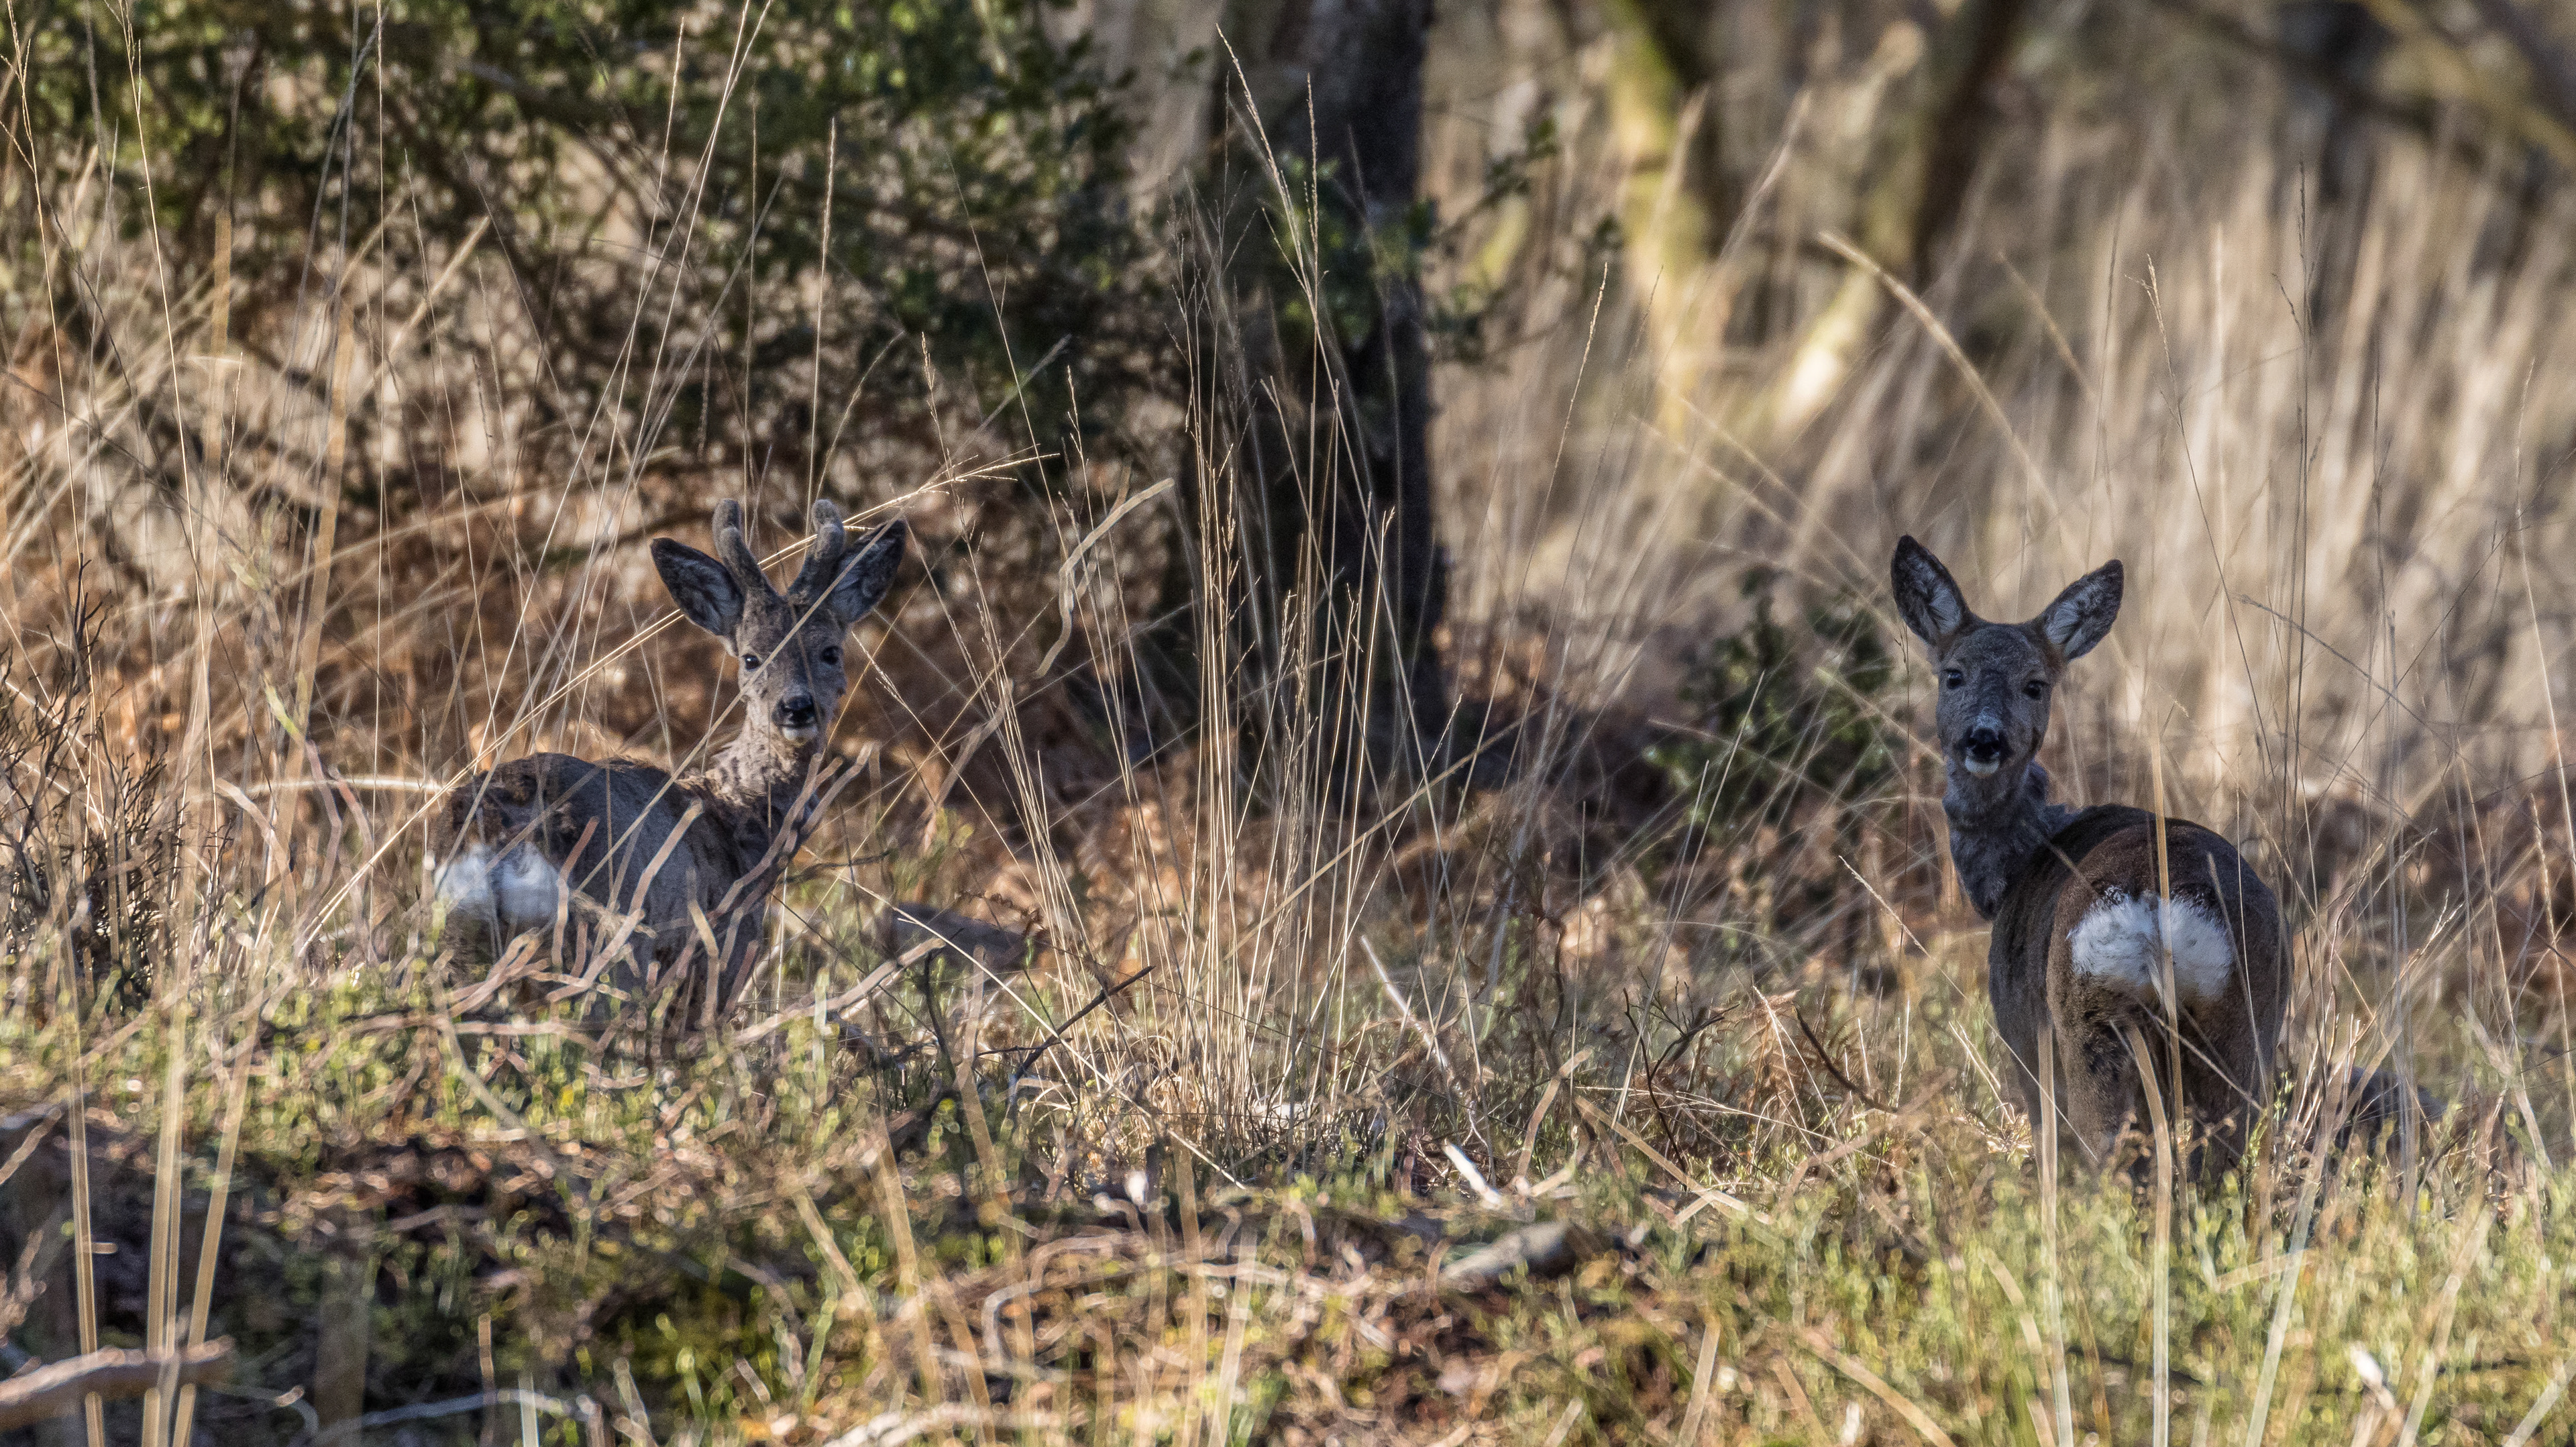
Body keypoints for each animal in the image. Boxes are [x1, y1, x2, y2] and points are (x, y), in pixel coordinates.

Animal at [432, 499, 907, 1018]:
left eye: (830, 652)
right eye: (751, 658)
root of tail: (497, 841)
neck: (734, 817)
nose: (796, 707)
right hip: (606, 949)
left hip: (458, 943)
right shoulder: (721, 954)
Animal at [1889, 537, 2286, 1174]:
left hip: (2087, 1023)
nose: (1984, 739)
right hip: (2240, 1025)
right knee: (2218, 1160)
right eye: (1954, 675)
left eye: (2035, 683)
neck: (2019, 862)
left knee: (2110, 1157)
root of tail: (2158, 911)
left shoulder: (2021, 1035)